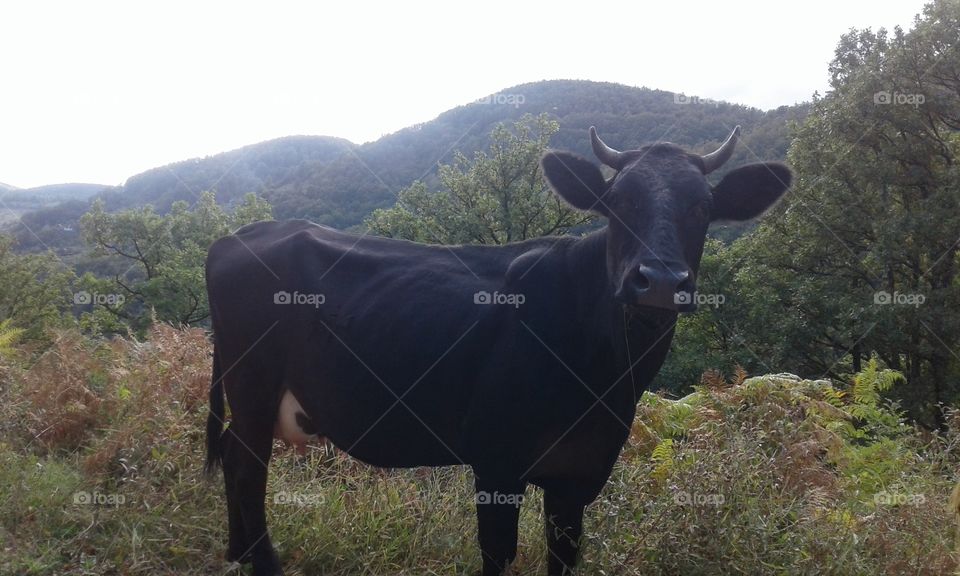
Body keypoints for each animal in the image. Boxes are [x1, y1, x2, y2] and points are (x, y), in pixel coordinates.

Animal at [204, 125, 791, 576]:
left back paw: (236, 554)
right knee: (246, 467)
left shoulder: (581, 473)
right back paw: (261, 563)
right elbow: (497, 556)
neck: (604, 374)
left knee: (232, 455)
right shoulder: (496, 461)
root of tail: (241, 234)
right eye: (617, 203)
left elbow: (563, 560)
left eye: (703, 207)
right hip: (252, 384)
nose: (661, 281)